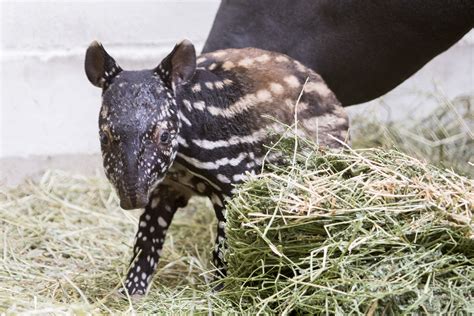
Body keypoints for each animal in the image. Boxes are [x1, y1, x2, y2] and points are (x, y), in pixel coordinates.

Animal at [84, 39, 348, 296]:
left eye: (165, 136)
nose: (132, 199)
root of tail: (334, 100)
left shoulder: (234, 179)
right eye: (104, 137)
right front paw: (130, 292)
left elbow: (223, 244)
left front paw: (219, 290)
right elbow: (146, 238)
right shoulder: (166, 186)